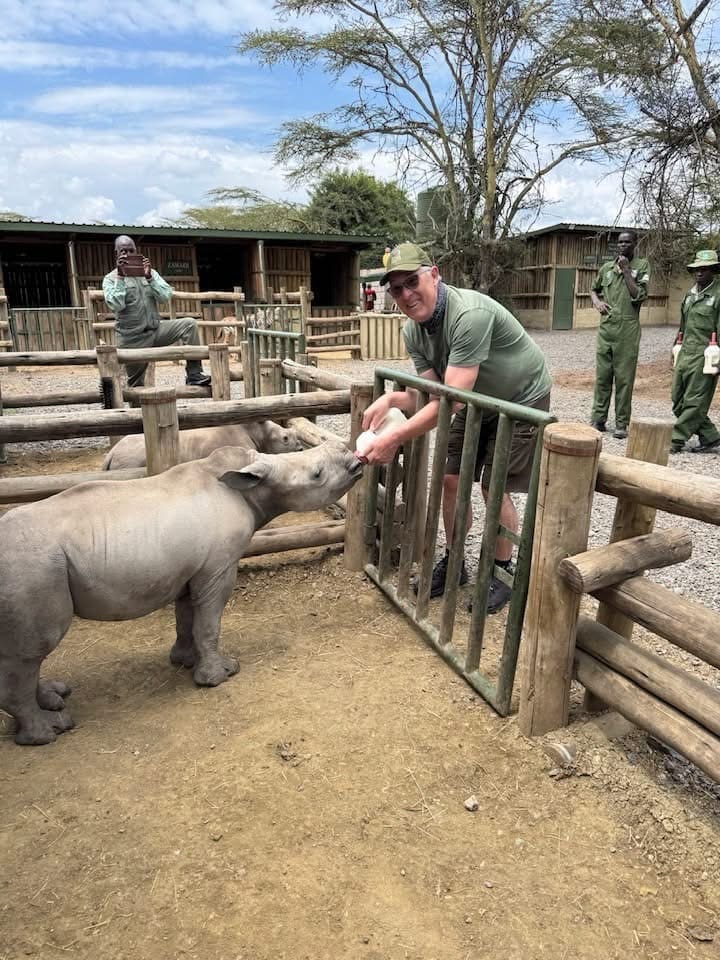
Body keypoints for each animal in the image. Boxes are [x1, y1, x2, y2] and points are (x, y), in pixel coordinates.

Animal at [0, 442, 362, 746]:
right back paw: (48, 732)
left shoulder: (191, 570)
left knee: (27, 652)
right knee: (33, 648)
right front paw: (219, 675)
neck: (256, 486)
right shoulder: (218, 569)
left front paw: (185, 661)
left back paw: (54, 697)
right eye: (317, 474)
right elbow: (209, 622)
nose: (355, 458)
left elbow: (186, 617)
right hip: (32, 570)